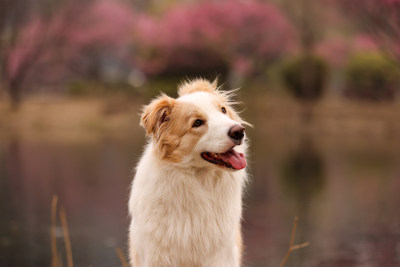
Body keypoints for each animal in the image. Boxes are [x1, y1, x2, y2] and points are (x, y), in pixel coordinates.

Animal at [128, 78, 248, 266]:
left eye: (223, 110)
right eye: (197, 123)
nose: (239, 131)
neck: (199, 181)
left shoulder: (221, 256)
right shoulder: (157, 257)